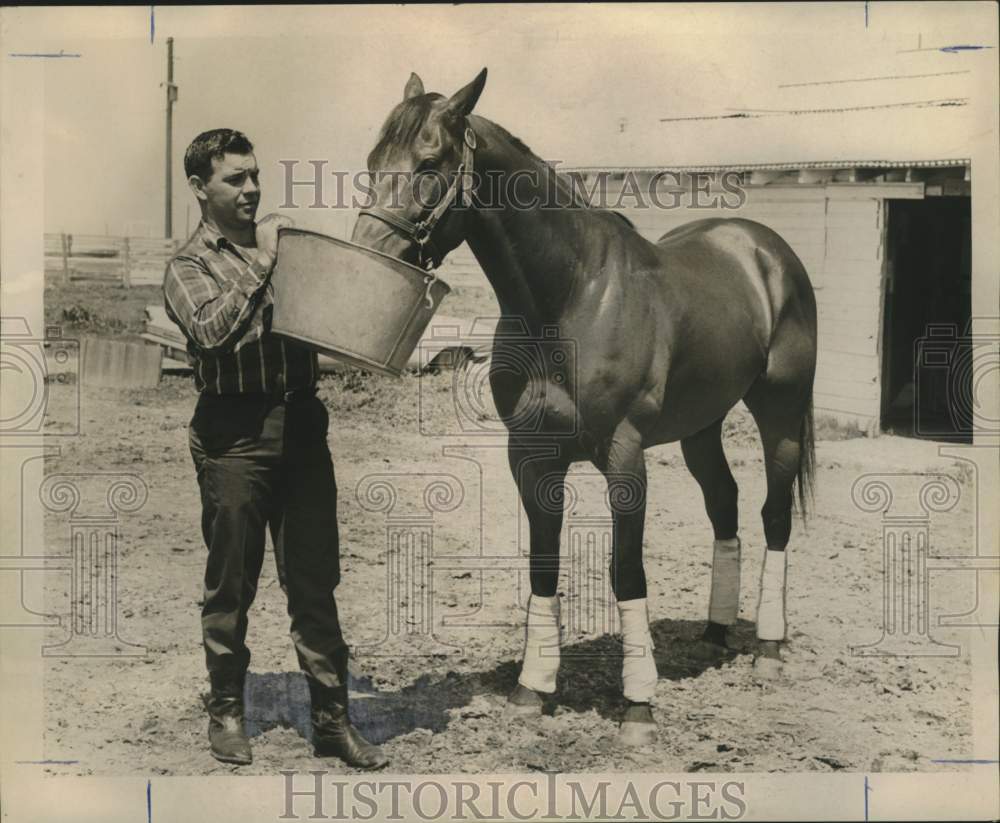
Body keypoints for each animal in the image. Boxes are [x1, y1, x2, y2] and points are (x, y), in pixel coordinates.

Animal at [350, 71, 812, 748]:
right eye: (372, 161)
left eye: (430, 162)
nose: (370, 252)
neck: (569, 296)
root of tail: (764, 249)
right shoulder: (532, 456)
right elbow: (543, 566)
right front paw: (532, 690)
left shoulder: (624, 457)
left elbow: (627, 572)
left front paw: (638, 706)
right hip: (701, 425)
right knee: (724, 505)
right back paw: (716, 631)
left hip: (780, 413)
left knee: (773, 515)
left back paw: (768, 649)